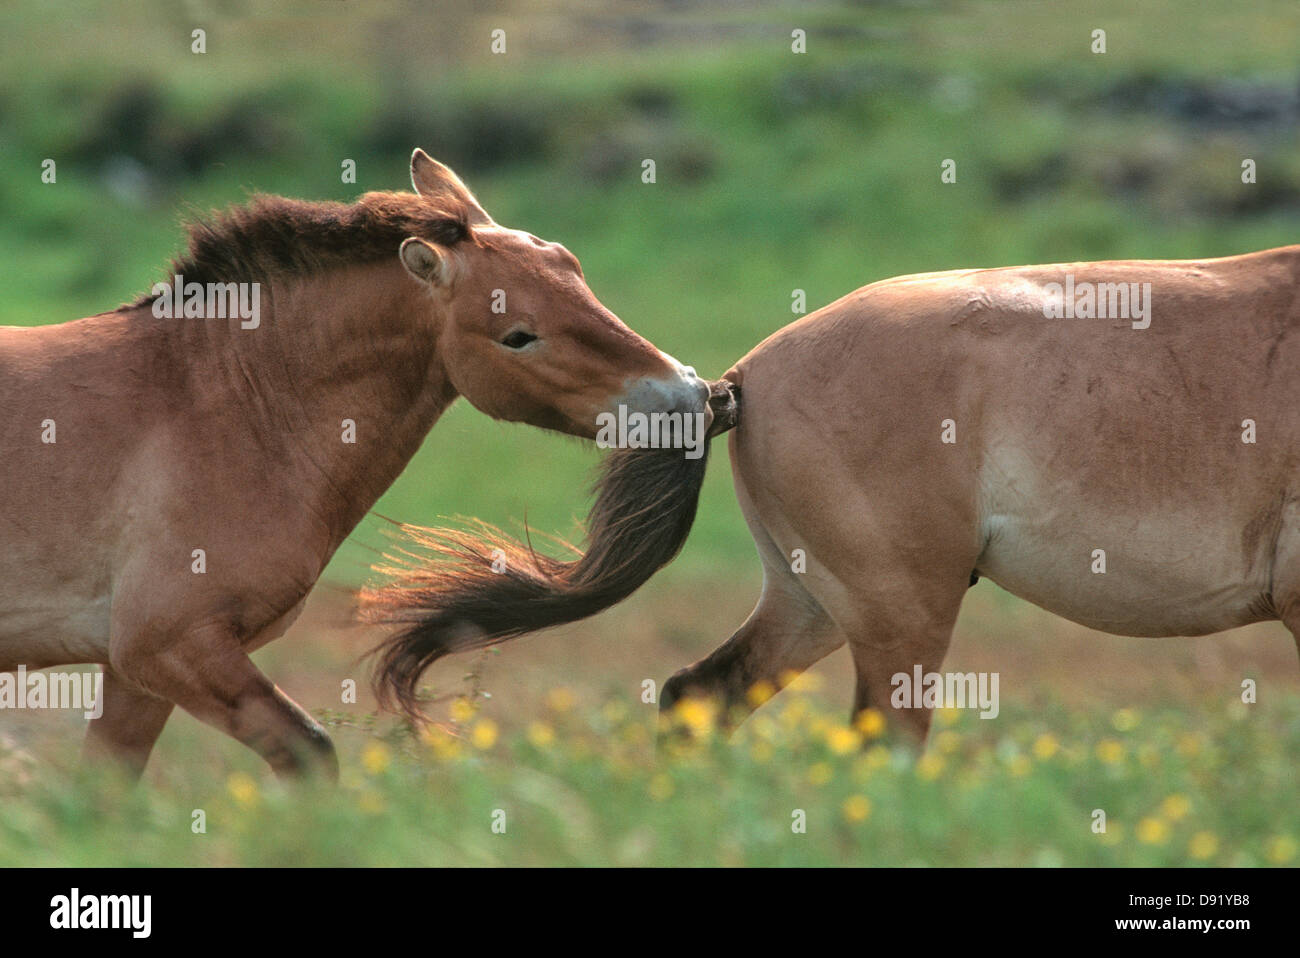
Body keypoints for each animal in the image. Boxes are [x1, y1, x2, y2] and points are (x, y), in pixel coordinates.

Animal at [0, 148, 710, 779]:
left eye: (571, 266)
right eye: (518, 335)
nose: (687, 394)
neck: (221, 402)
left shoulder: (135, 675)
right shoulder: (170, 647)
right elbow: (310, 752)